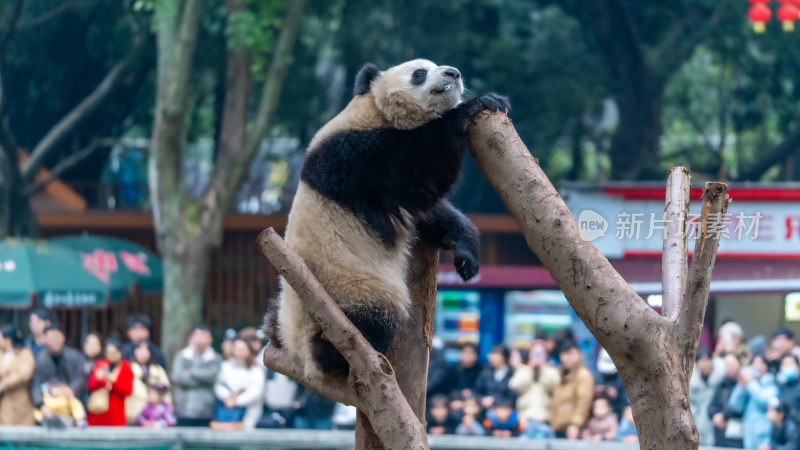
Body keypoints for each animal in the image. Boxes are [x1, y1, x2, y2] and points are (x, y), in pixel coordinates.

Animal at [266, 58, 510, 378]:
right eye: (419, 73)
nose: (454, 73)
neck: (375, 110)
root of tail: (298, 353)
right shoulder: (356, 156)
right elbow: (420, 170)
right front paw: (478, 104)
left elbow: (426, 213)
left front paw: (466, 257)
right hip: (351, 290)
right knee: (372, 321)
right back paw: (338, 354)